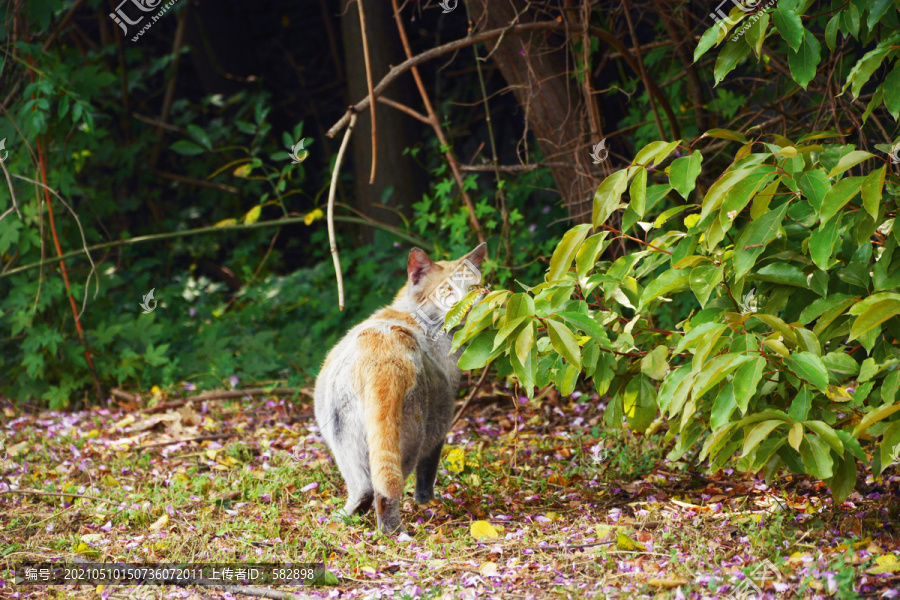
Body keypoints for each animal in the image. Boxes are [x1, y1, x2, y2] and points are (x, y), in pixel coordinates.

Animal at [314, 244, 486, 536]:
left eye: (474, 288)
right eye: (446, 291)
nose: (469, 306)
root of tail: (383, 357)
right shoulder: (440, 429)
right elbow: (427, 476)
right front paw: (427, 503)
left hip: (342, 438)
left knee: (363, 487)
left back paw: (343, 520)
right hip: (411, 438)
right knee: (386, 493)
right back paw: (394, 534)